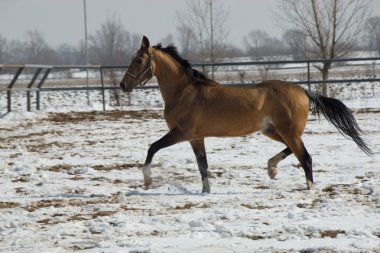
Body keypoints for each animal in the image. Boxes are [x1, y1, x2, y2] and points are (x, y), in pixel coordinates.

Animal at [120, 35, 372, 193]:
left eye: (139, 59)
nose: (123, 85)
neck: (185, 92)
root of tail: (304, 91)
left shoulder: (181, 132)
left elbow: (152, 147)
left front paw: (147, 180)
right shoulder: (196, 137)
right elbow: (202, 165)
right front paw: (205, 191)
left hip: (288, 131)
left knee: (305, 157)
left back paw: (308, 189)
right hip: (273, 131)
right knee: (293, 151)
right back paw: (271, 169)